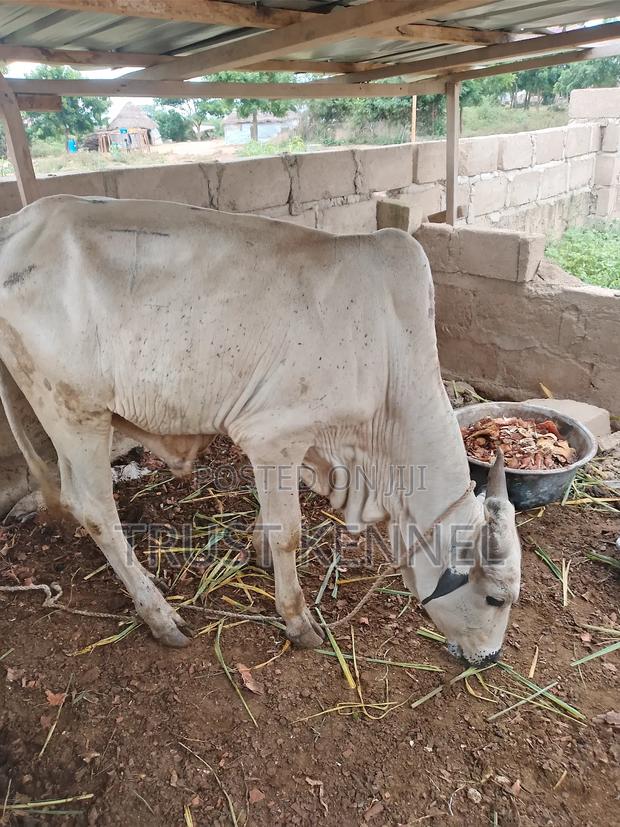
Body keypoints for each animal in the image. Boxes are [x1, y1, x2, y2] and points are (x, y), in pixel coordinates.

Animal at [0, 195, 521, 664]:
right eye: (495, 598)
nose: (490, 657)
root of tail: (19, 222)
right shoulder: (273, 436)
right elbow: (289, 529)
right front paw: (297, 620)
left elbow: (271, 516)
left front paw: (260, 550)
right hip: (74, 409)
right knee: (94, 508)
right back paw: (161, 616)